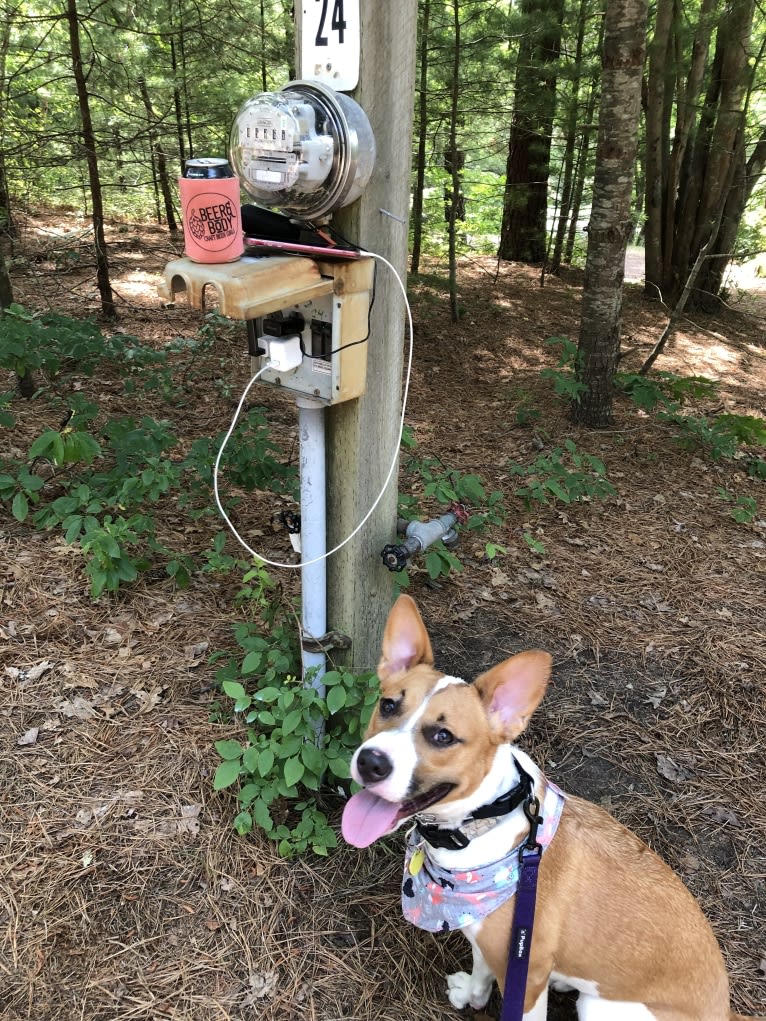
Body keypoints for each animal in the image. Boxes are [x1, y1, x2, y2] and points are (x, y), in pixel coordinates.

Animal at [345, 596, 763, 1021]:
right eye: (388, 705)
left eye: (443, 736)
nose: (370, 762)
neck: (485, 821)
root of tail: (725, 1012)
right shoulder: (490, 942)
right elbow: (481, 969)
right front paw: (473, 995)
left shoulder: (527, 975)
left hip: (601, 1008)